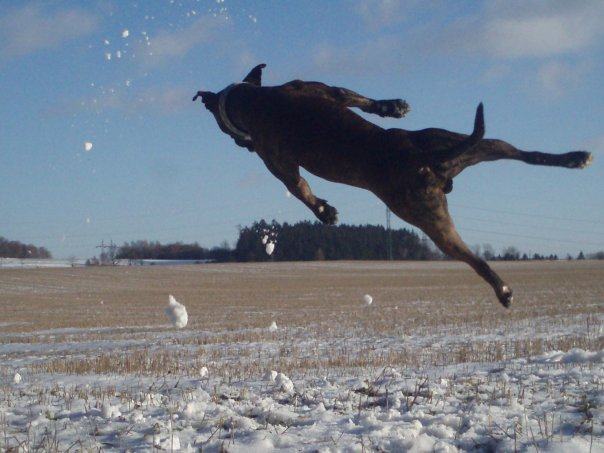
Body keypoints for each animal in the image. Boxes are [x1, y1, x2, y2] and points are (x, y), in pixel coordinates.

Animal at [196, 63, 592, 308]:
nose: (241, 144)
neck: (259, 101)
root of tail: (433, 161)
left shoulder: (280, 162)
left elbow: (302, 191)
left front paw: (326, 212)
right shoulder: (322, 92)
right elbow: (355, 98)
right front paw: (394, 106)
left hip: (424, 212)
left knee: (474, 259)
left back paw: (503, 290)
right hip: (461, 150)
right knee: (527, 156)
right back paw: (575, 157)